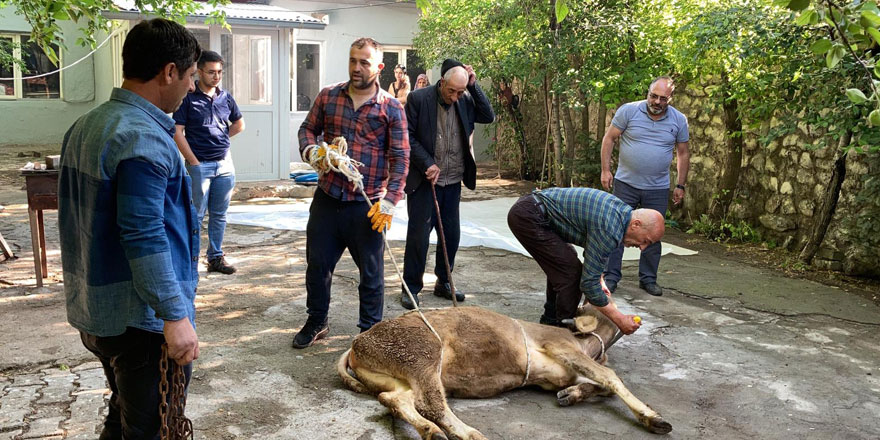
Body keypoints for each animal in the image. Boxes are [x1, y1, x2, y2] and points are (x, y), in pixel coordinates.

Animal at [338, 306, 672, 440]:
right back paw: (468, 433)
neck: (587, 344)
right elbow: (610, 378)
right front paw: (654, 418)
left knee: (394, 399)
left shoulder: (558, 376)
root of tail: (357, 343)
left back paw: (432, 432)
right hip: (424, 352)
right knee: (430, 403)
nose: (633, 319)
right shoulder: (560, 346)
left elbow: (597, 384)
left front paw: (570, 395)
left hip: (399, 376)